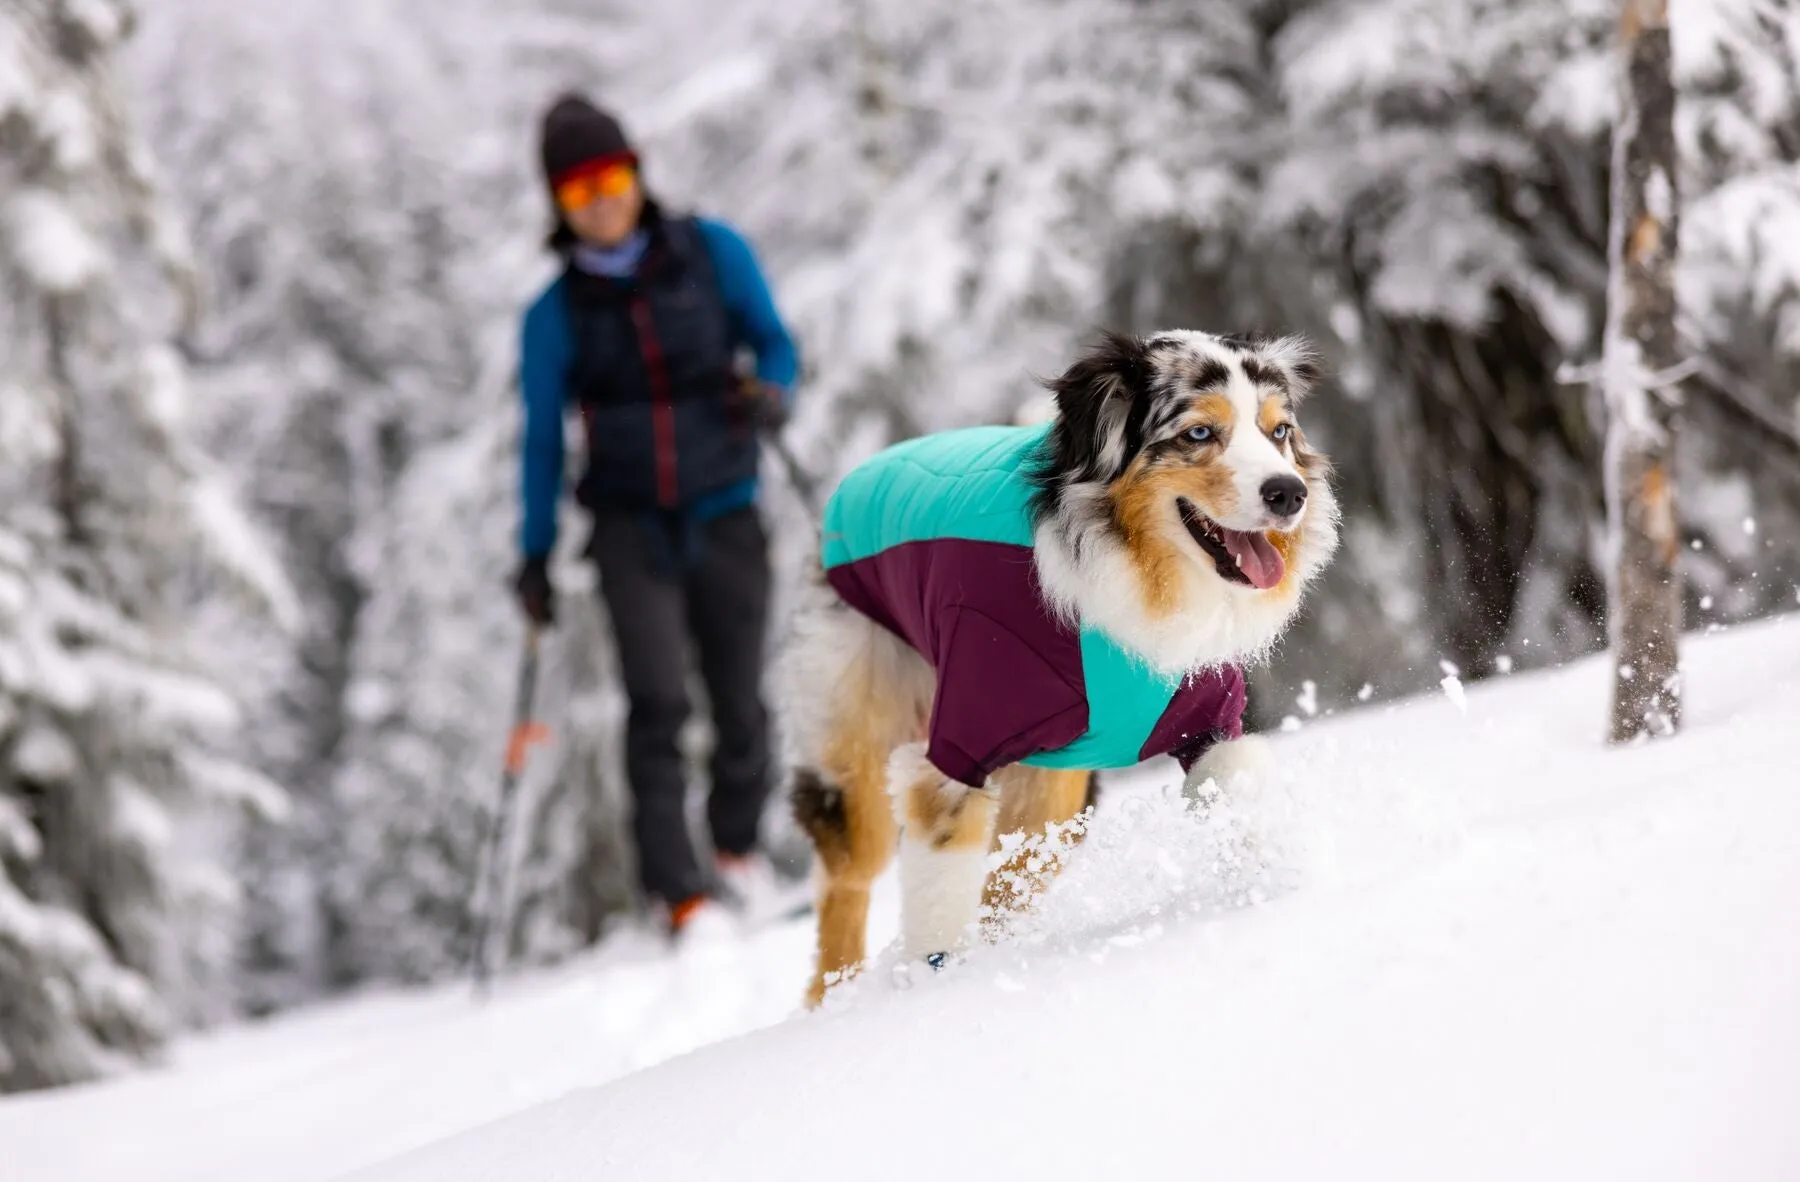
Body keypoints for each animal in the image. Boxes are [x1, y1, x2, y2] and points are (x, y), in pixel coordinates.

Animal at [784, 327, 1339, 1000]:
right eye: (1200, 433)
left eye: (1278, 430)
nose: (1289, 493)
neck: (1137, 574)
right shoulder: (957, 747)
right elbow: (939, 879)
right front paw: (935, 984)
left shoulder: (1208, 720)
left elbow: (1235, 788)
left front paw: (1279, 889)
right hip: (856, 711)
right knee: (847, 876)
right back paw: (833, 997)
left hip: (1057, 787)